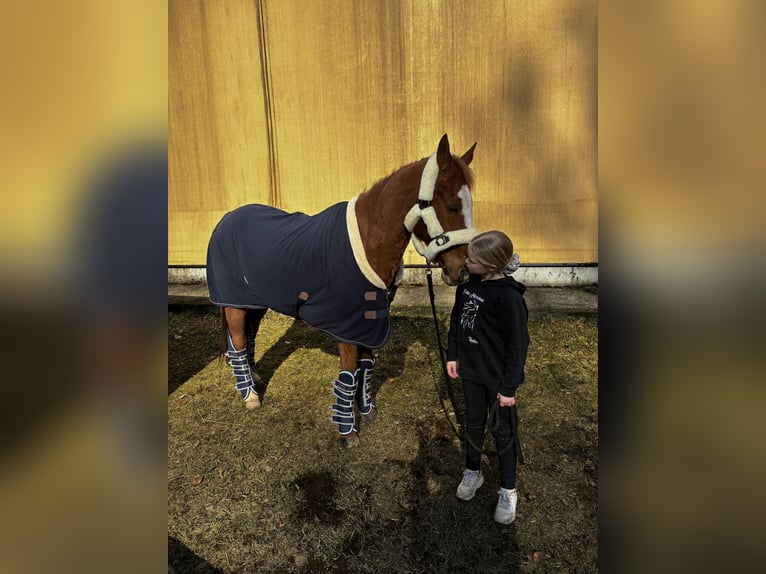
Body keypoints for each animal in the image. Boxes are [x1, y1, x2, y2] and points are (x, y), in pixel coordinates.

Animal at [206, 134, 477, 447]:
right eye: (452, 206)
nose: (462, 271)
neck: (369, 240)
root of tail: (227, 219)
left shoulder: (371, 320)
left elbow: (366, 367)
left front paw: (367, 411)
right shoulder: (348, 326)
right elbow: (349, 373)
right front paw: (347, 433)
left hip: (256, 302)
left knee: (248, 336)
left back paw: (255, 377)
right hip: (234, 303)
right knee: (237, 342)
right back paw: (250, 395)